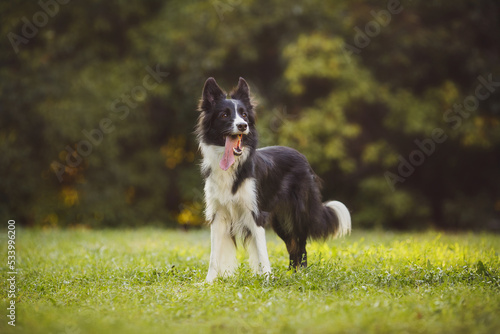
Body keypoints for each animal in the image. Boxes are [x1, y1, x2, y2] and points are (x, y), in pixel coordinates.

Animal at [195, 76, 352, 282]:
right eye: (224, 115)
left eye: (244, 115)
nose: (243, 125)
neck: (233, 167)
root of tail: (301, 156)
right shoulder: (218, 214)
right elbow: (214, 255)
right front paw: (209, 281)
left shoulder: (256, 213)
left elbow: (262, 252)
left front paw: (267, 279)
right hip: (281, 219)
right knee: (293, 245)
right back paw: (292, 273)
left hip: (299, 213)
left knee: (301, 245)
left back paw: (300, 274)